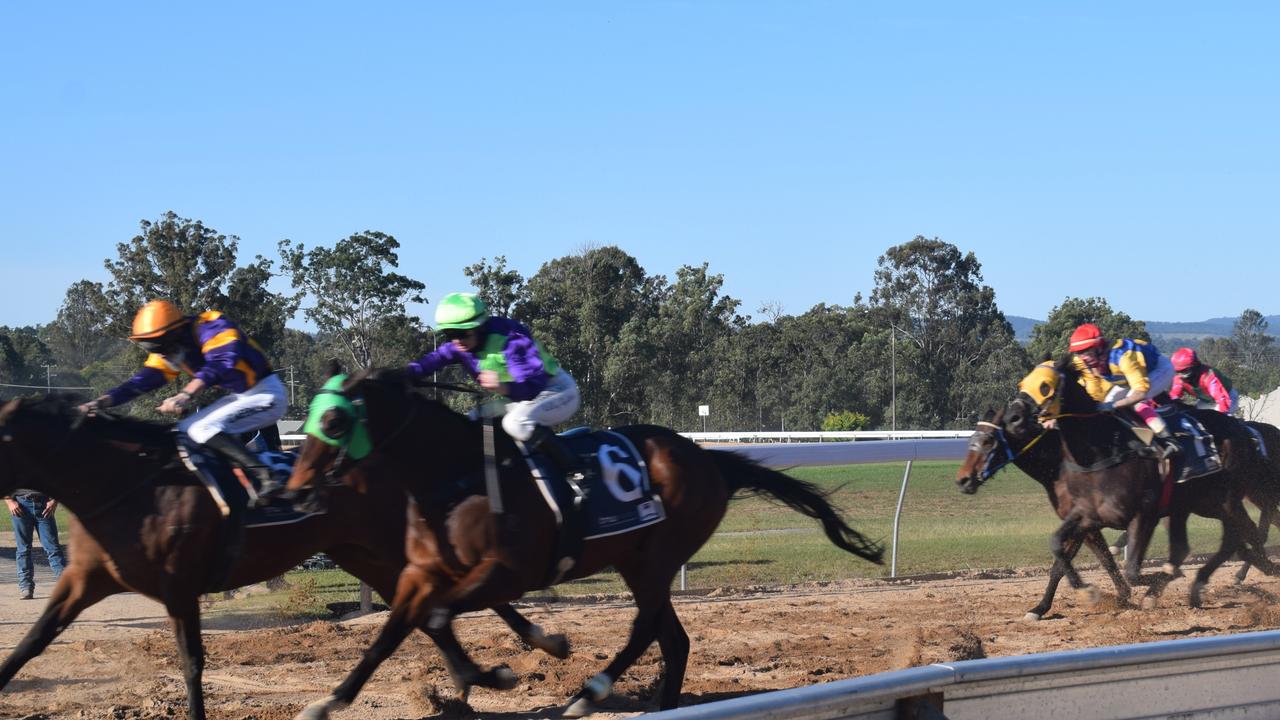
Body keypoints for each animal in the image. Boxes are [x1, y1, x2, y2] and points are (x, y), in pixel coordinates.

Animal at [0, 392, 565, 717]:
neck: (127, 482)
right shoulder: (84, 579)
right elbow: (30, 643)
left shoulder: (179, 585)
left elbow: (190, 661)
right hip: (359, 552)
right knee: (429, 616)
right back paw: (472, 682)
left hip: (384, 546)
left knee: (447, 603)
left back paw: (531, 646)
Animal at [280, 368, 880, 717]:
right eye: (305, 416)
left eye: (335, 419)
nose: (297, 489)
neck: (455, 474)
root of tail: (709, 460)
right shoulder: (419, 571)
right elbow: (390, 633)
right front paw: (329, 700)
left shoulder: (506, 570)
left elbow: (439, 616)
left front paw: (489, 674)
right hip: (637, 559)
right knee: (673, 638)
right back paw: (659, 705)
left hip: (655, 557)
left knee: (647, 629)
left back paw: (588, 694)